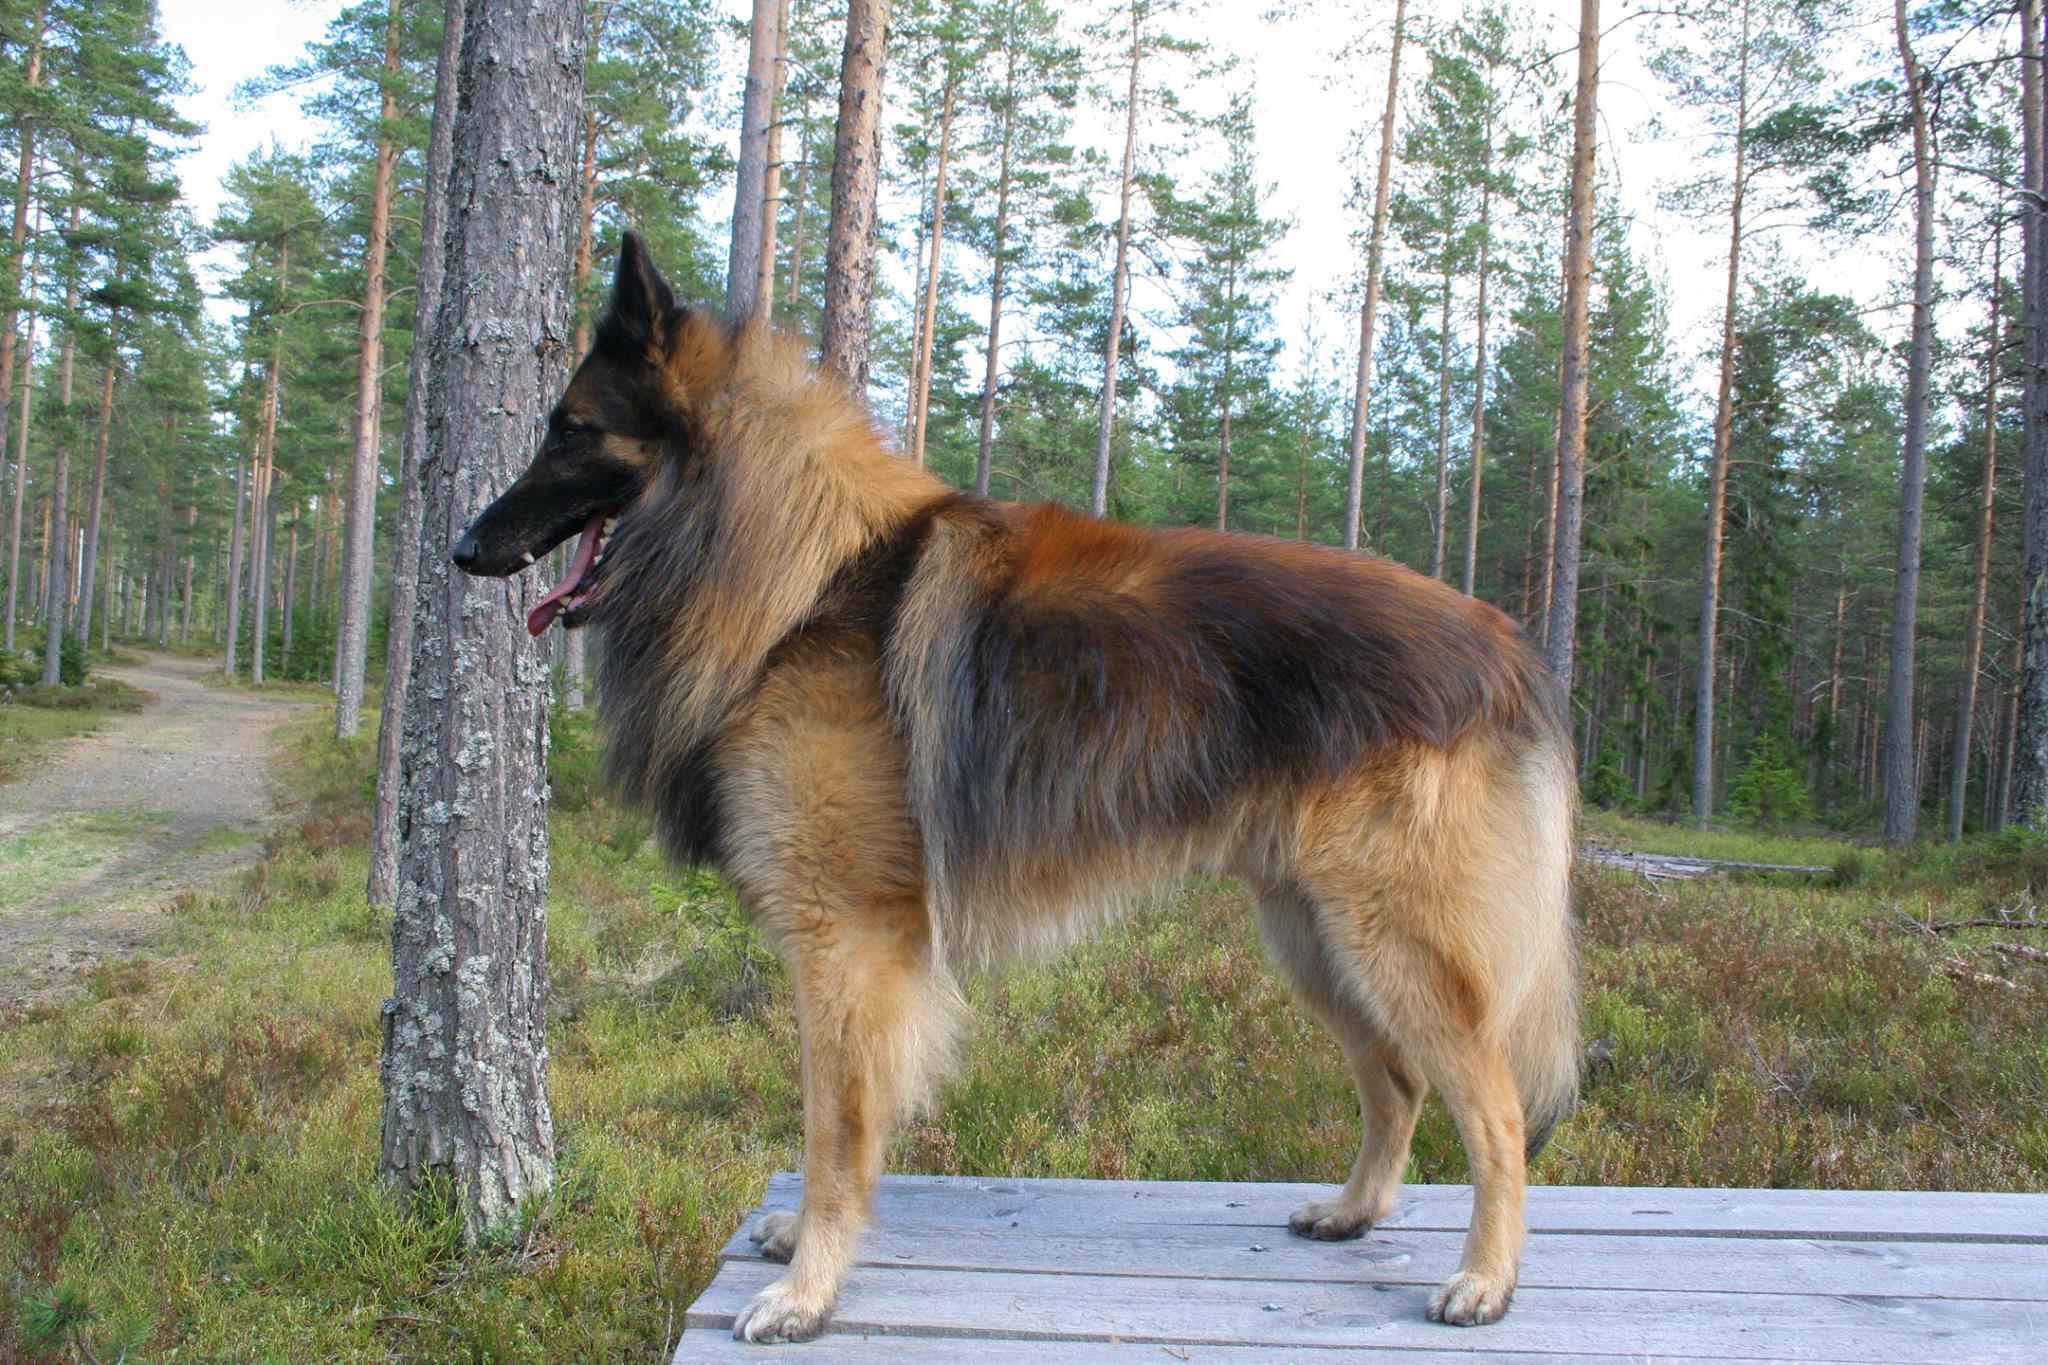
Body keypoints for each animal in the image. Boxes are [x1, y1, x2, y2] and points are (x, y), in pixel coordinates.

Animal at [452, 233, 1579, 1343]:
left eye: (572, 432)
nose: (464, 548)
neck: (800, 580)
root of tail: (1505, 641)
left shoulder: (843, 939)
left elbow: (831, 1128)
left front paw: (810, 1290)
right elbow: (841, 1127)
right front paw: (803, 1251)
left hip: (1392, 939)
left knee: (1494, 1111)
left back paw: (1486, 1279)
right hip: (1313, 936)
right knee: (1396, 1081)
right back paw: (1355, 1211)